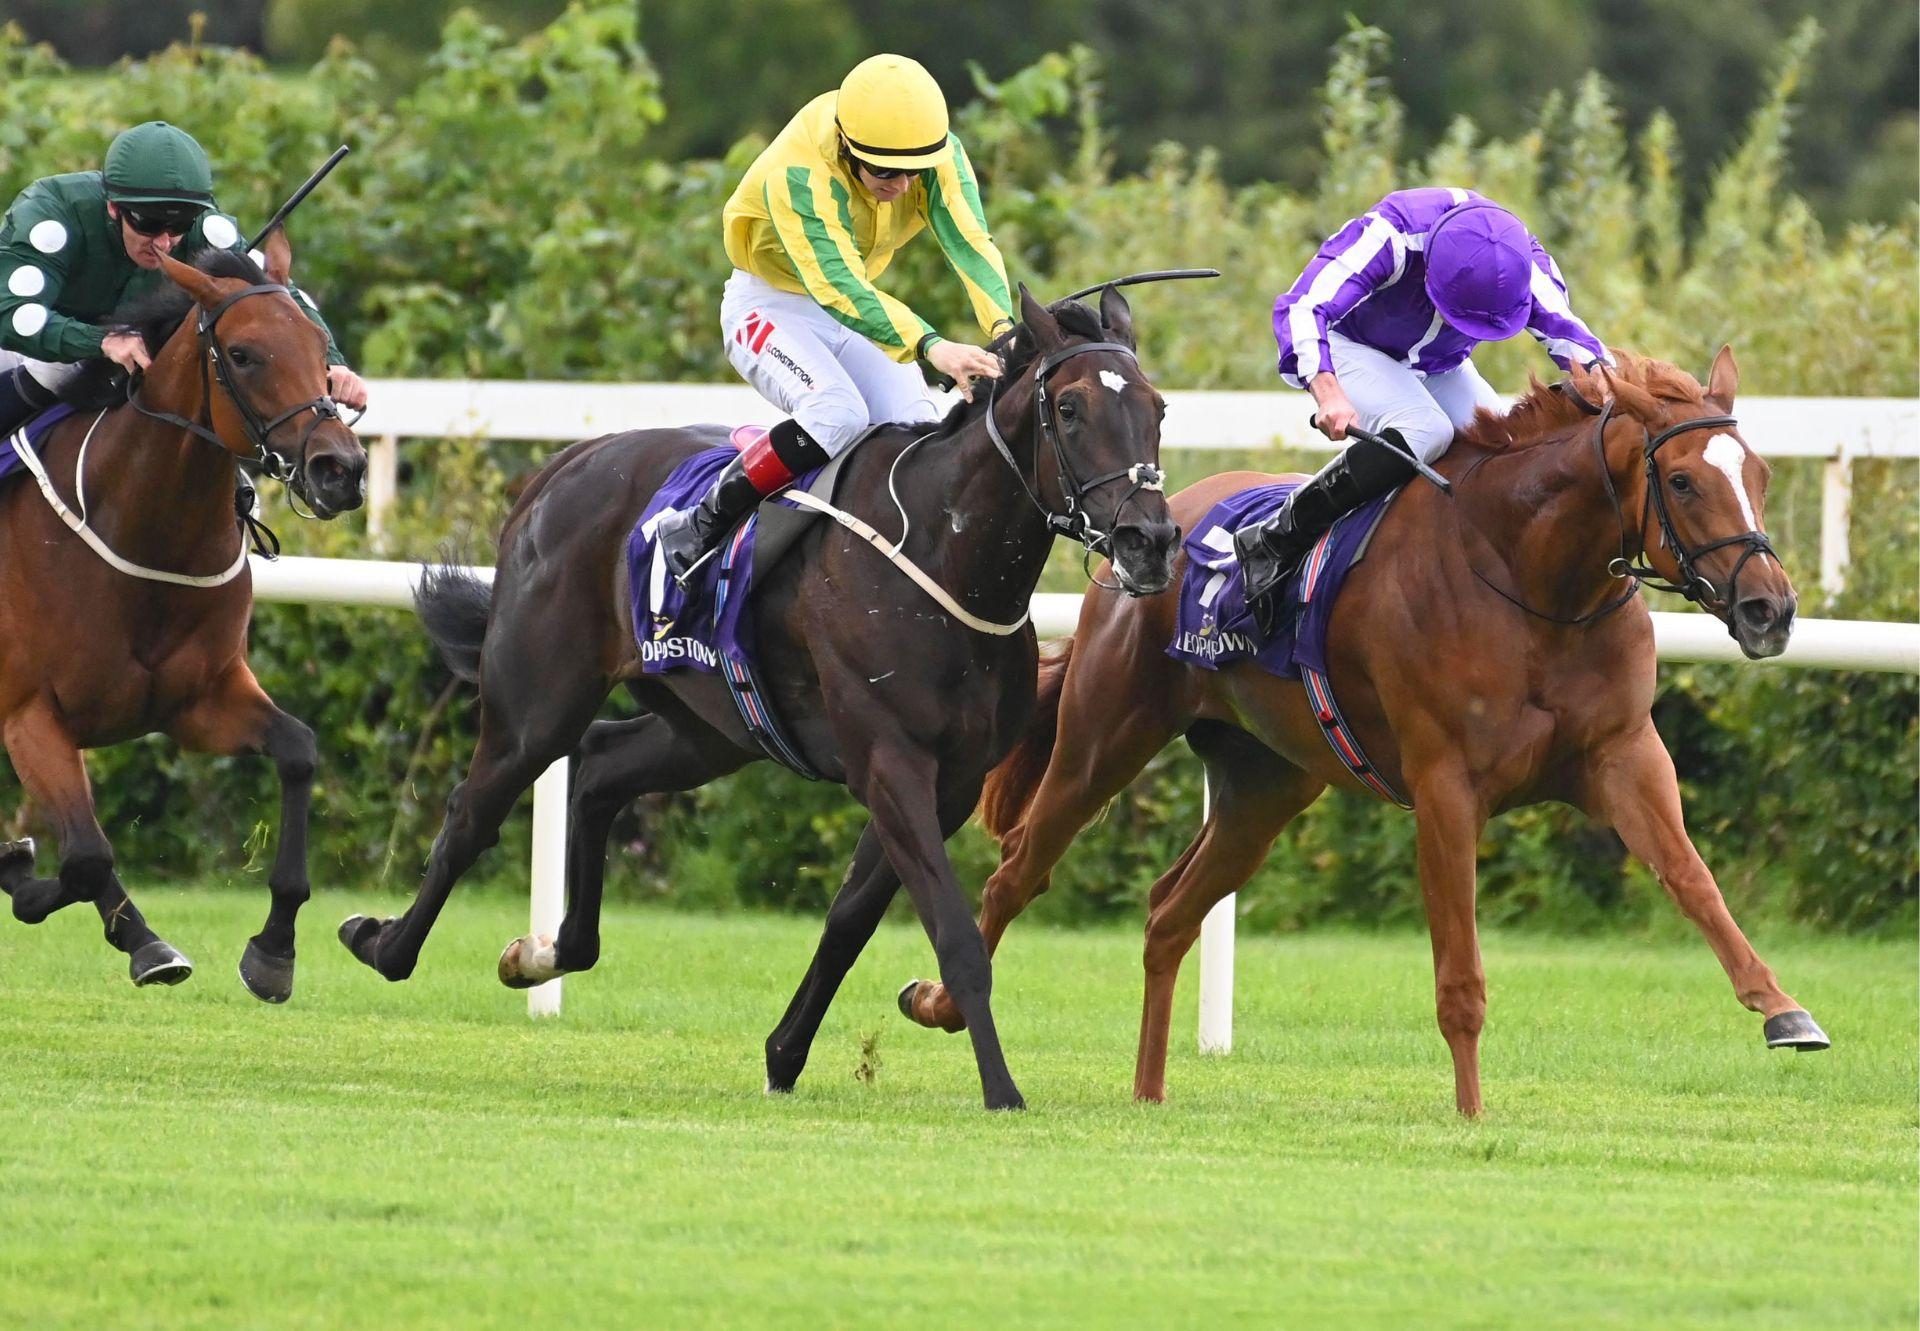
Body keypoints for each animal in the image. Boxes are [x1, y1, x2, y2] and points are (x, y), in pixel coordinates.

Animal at [0, 241, 366, 998]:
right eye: (245, 354)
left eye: (320, 346)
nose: (339, 469)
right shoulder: (28, 715)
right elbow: (85, 854)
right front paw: (125, 932)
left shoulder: (195, 701)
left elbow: (298, 750)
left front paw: (274, 948)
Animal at [898, 349, 1827, 1113]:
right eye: (1683, 481)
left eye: (1759, 473)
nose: (1770, 608)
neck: (1531, 578)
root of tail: (1157, 528)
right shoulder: (1445, 785)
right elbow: (1460, 973)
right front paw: (1471, 1115)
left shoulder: (1624, 754)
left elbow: (1693, 879)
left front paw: (1785, 1012)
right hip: (1106, 735)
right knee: (1018, 871)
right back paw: (940, 1002)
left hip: (1264, 787)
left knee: (1169, 909)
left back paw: (1149, 1089)